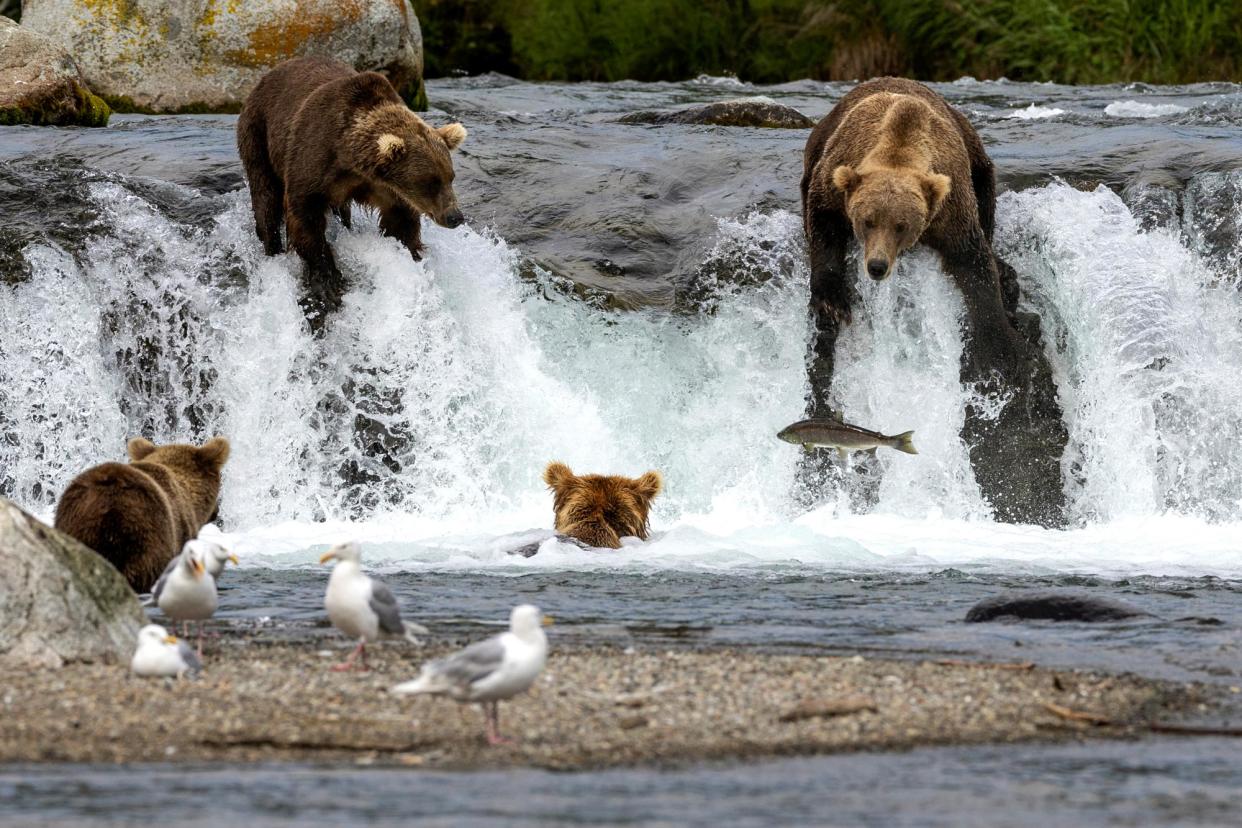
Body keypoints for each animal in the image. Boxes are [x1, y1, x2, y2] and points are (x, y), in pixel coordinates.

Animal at [235, 56, 466, 322]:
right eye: (430, 182)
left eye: (450, 177)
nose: (454, 216)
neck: (351, 159)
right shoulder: (313, 159)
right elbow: (305, 218)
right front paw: (328, 281)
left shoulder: (386, 190)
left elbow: (400, 224)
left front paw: (411, 254)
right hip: (259, 134)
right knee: (265, 196)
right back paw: (272, 248)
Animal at [804, 79, 1068, 531]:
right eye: (866, 220)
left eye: (900, 225)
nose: (876, 267)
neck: (898, 144)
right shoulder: (836, 177)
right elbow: (821, 223)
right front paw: (832, 301)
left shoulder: (952, 205)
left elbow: (975, 266)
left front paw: (1000, 351)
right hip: (820, 140)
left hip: (978, 159)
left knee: (989, 207)